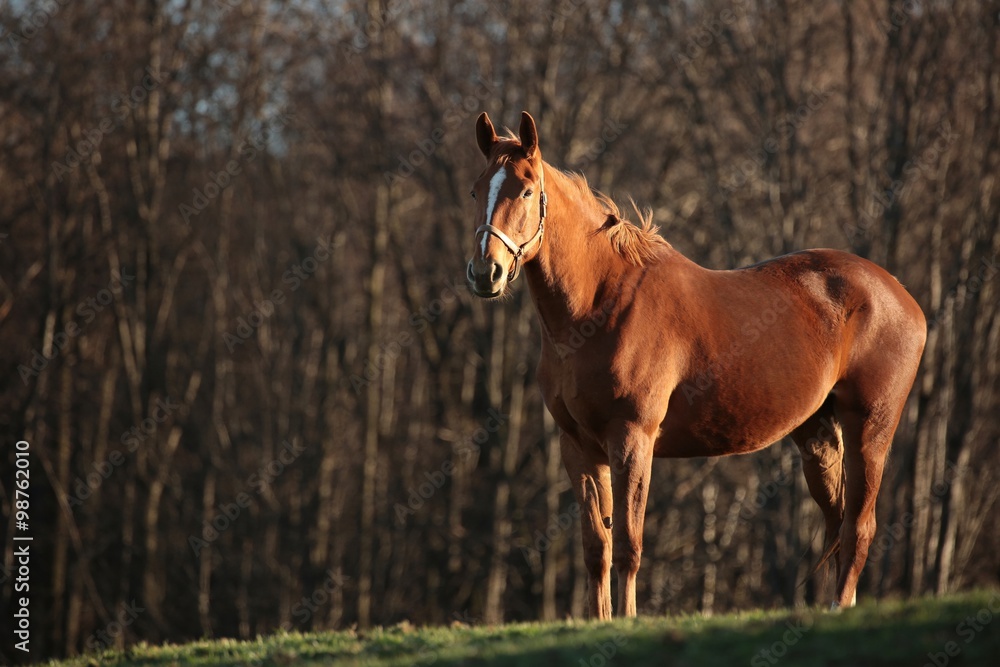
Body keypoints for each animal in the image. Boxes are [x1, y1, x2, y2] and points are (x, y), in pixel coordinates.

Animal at [466, 111, 927, 619]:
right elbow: (596, 547)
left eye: (527, 190)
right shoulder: (578, 447)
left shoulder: (632, 439)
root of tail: (900, 294)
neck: (599, 305)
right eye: (476, 191)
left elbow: (628, 545)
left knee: (859, 526)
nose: (485, 273)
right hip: (818, 436)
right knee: (838, 523)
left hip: (870, 430)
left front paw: (626, 621)